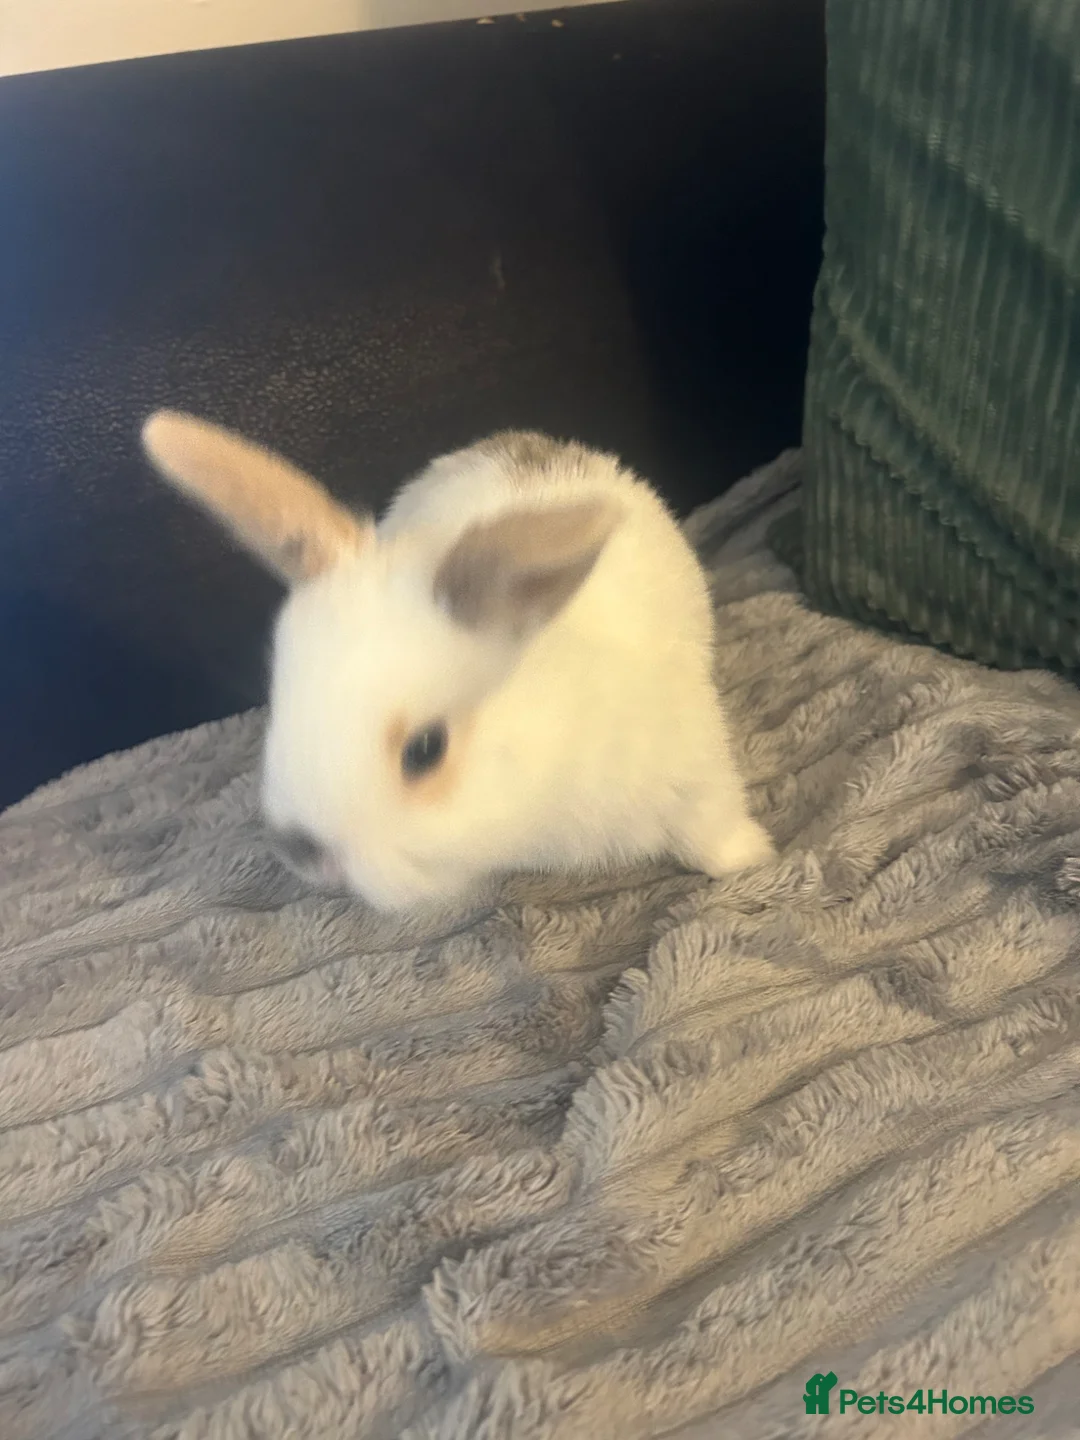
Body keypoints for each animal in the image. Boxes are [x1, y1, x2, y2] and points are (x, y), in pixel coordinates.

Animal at [141, 413, 775, 913]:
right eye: (280, 697)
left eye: (425, 750)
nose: (302, 848)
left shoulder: (690, 760)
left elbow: (711, 819)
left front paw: (749, 858)